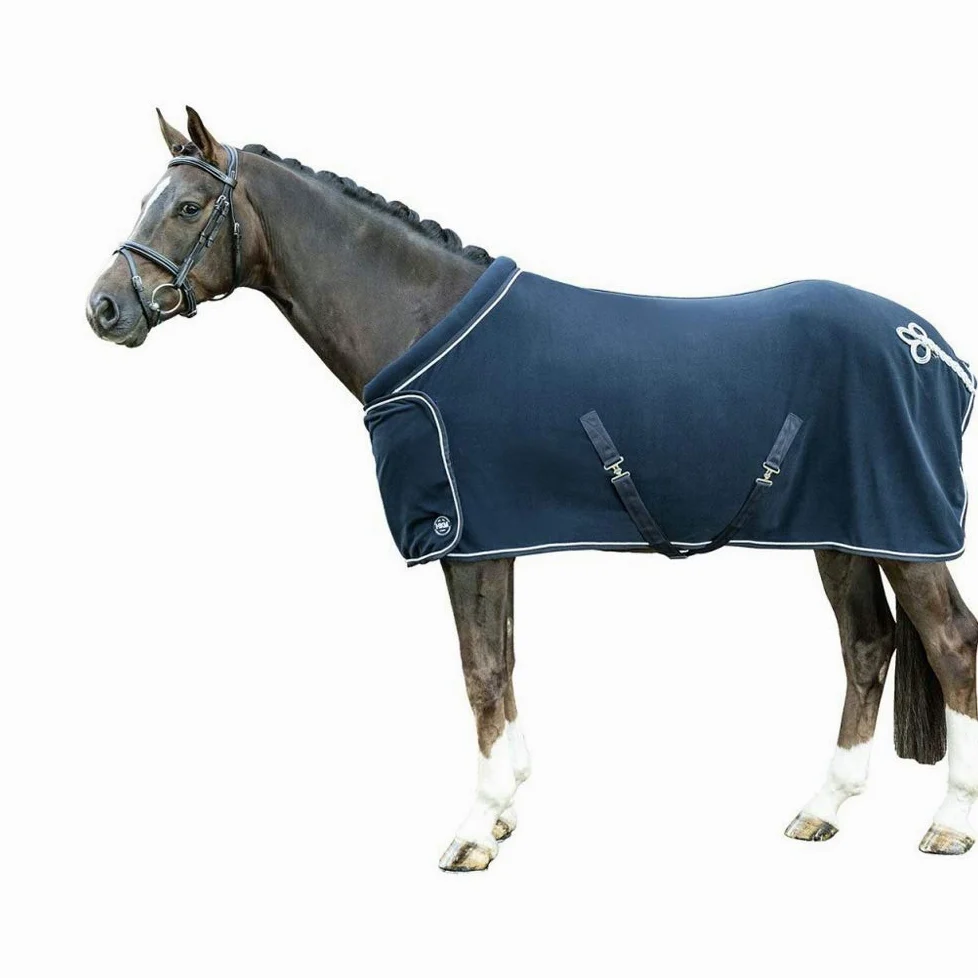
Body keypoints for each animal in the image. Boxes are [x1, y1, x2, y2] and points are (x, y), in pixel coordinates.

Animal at [85, 107, 978, 870]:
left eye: (188, 206)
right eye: (145, 200)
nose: (103, 308)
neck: (423, 323)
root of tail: (931, 345)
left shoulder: (463, 540)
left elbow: (480, 671)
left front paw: (474, 831)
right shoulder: (497, 539)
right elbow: (505, 663)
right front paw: (508, 807)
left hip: (907, 535)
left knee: (952, 647)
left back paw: (948, 826)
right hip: (845, 533)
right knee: (867, 647)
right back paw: (822, 809)